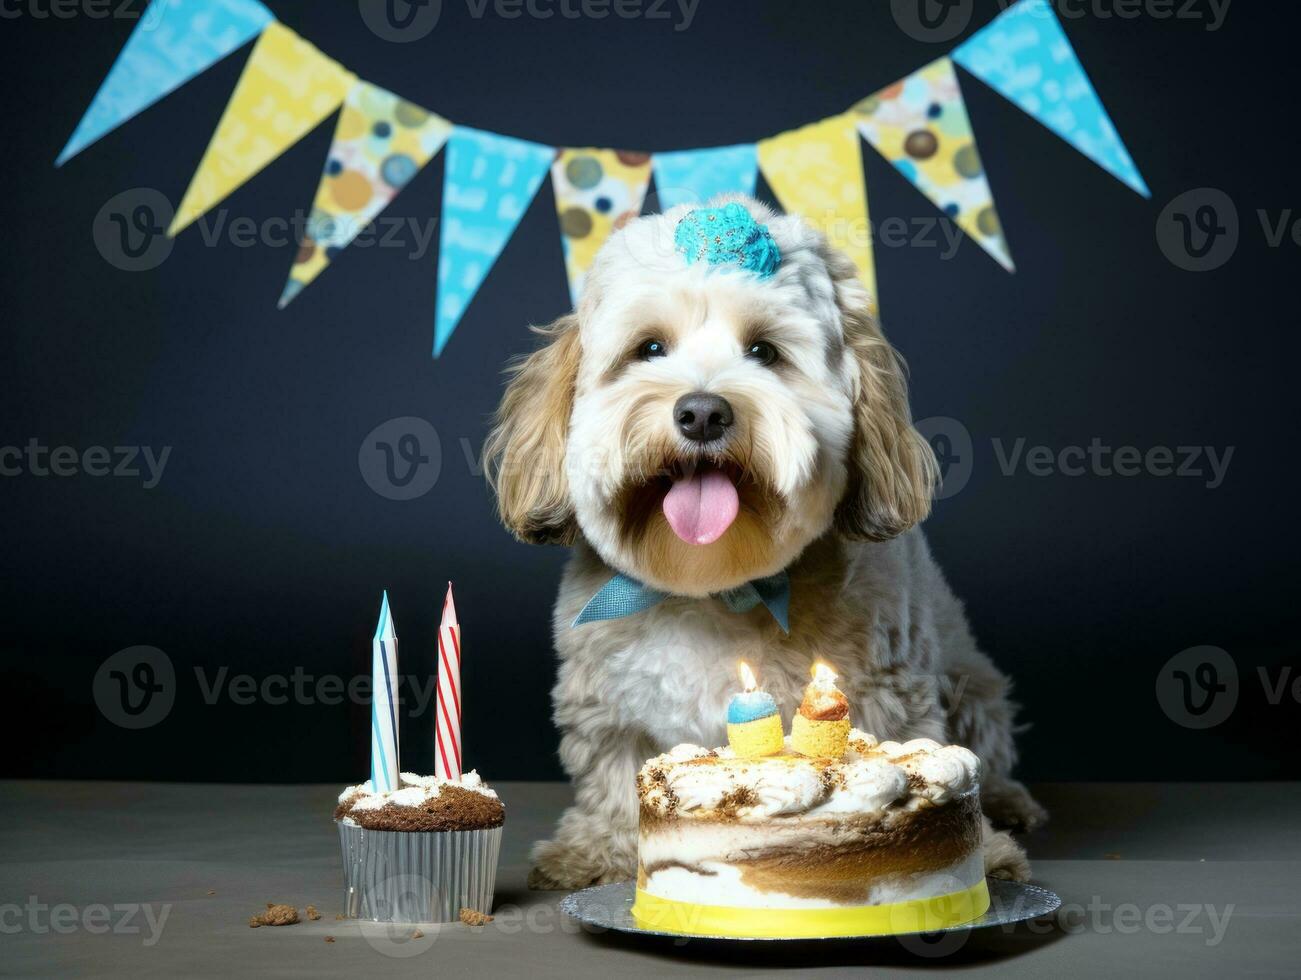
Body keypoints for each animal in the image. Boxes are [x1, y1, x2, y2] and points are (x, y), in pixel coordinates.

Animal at [489, 196, 1046, 884]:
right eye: (649, 348)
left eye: (765, 351)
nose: (702, 412)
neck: (715, 588)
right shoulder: (604, 703)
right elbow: (612, 773)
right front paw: (596, 849)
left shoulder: (892, 689)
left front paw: (987, 856)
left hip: (975, 686)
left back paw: (1008, 803)